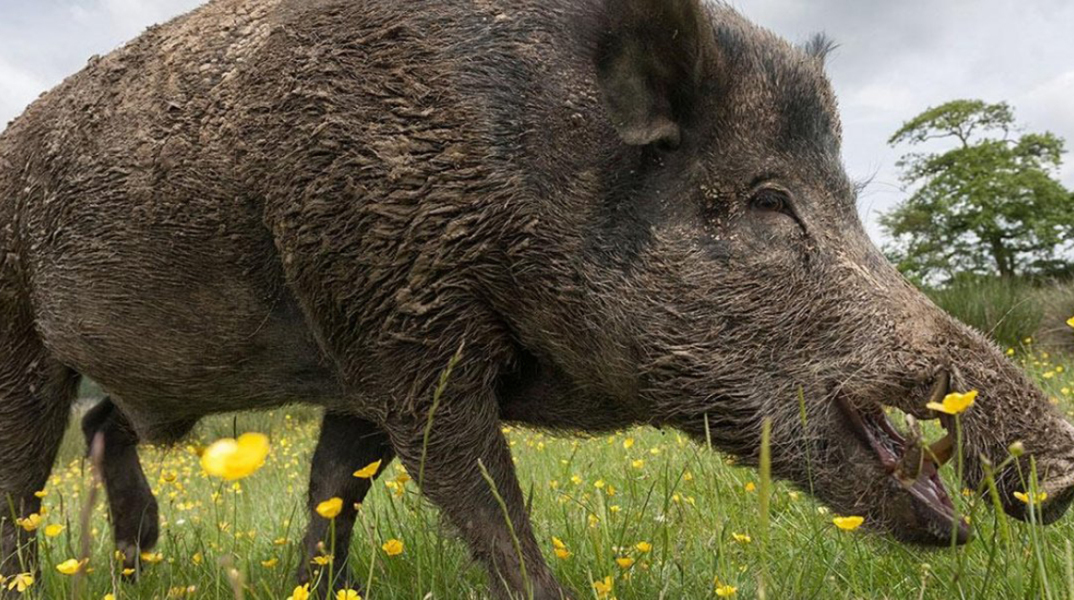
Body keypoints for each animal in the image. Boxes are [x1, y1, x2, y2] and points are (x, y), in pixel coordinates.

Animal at [2, 0, 1073, 597]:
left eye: (850, 196)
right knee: (25, 472)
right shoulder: (397, 326)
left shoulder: (358, 358)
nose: (1062, 466)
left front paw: (309, 588)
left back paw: (135, 567)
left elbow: (334, 493)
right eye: (769, 200)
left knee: (105, 424)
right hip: (17, 328)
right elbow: (484, 505)